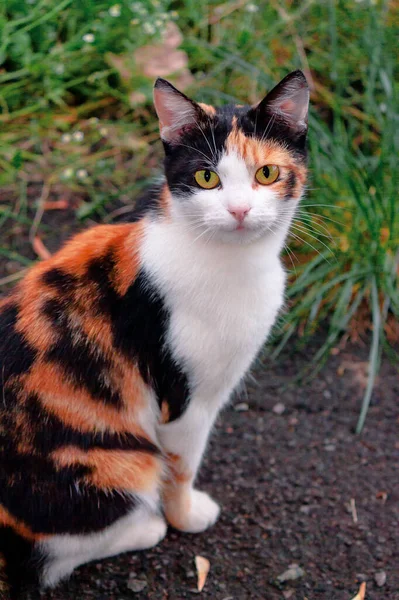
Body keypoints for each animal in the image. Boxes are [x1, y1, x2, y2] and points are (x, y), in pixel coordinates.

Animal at [0, 69, 310, 596]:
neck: (230, 262)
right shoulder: (185, 398)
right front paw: (186, 516)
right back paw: (147, 526)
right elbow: (182, 467)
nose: (240, 211)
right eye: (207, 177)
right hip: (119, 461)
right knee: (48, 556)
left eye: (266, 174)